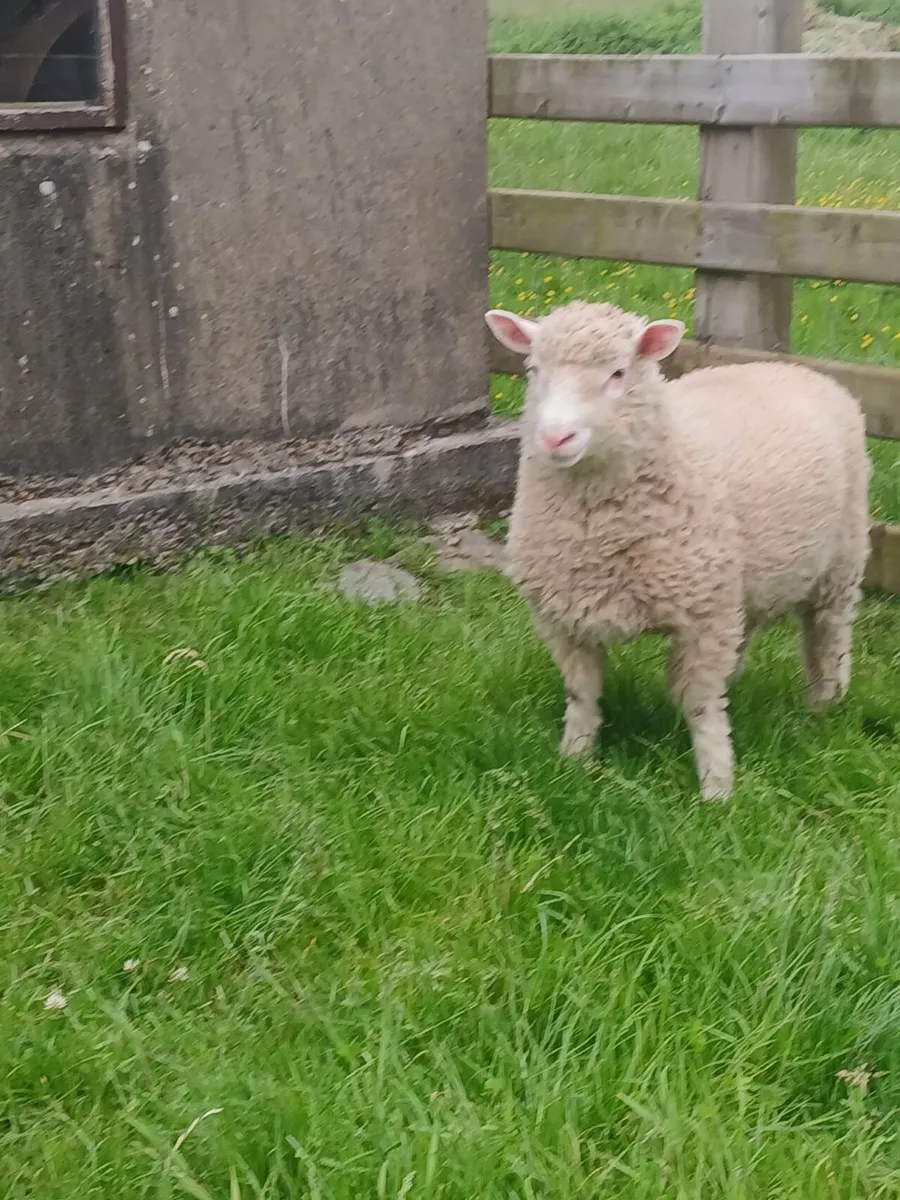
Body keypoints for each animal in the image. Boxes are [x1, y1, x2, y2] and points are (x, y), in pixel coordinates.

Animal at [485, 300, 871, 802]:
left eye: (618, 373)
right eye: (533, 370)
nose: (555, 438)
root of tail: (791, 367)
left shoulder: (704, 617)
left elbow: (701, 706)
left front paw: (717, 789)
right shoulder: (562, 617)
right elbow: (581, 694)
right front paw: (573, 761)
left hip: (841, 561)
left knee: (827, 634)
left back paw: (825, 704)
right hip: (738, 582)